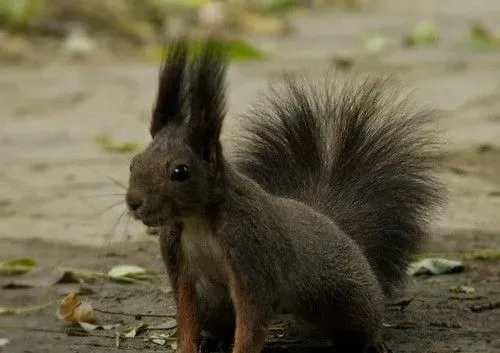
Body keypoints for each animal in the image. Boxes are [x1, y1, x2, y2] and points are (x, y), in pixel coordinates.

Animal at [126, 39, 446, 352]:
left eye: (180, 172)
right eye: (133, 162)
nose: (133, 202)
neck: (198, 220)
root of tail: (335, 225)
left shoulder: (252, 250)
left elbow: (251, 320)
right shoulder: (179, 263)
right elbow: (187, 315)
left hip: (348, 295)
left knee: (364, 319)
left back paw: (374, 342)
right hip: (215, 304)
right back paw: (213, 339)